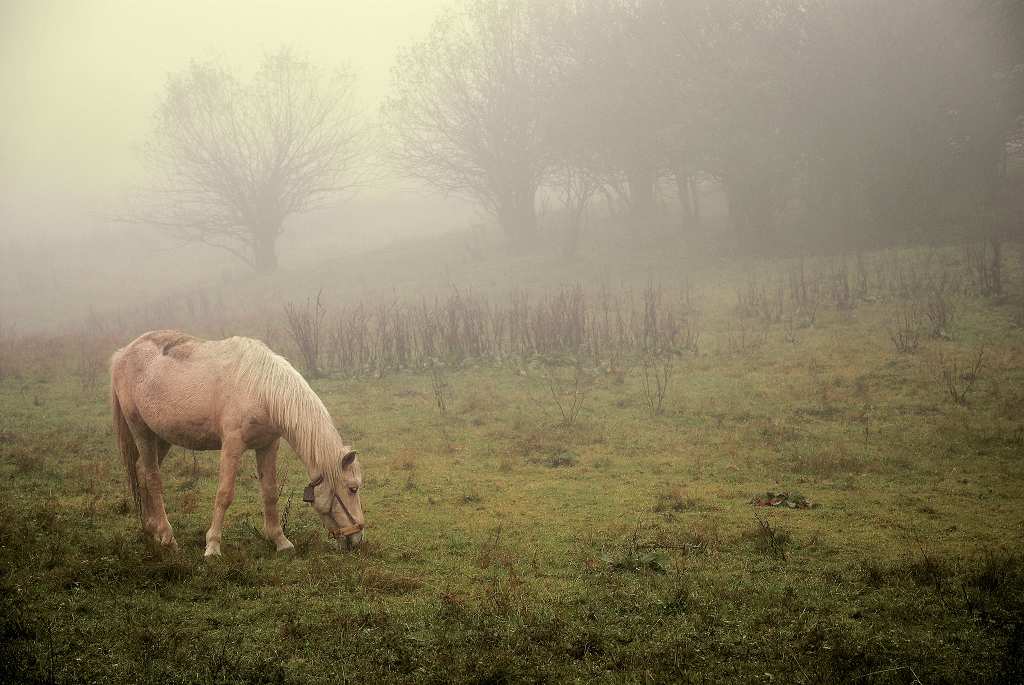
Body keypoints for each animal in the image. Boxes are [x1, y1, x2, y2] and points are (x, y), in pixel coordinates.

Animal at [108, 329, 362, 557]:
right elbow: (224, 494)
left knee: (142, 473)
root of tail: (122, 354)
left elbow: (269, 492)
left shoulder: (267, 445)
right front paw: (212, 547)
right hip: (141, 431)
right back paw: (167, 537)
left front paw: (280, 541)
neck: (262, 387)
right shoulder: (232, 445)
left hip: (160, 437)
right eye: (352, 488)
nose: (358, 539)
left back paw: (152, 530)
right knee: (153, 479)